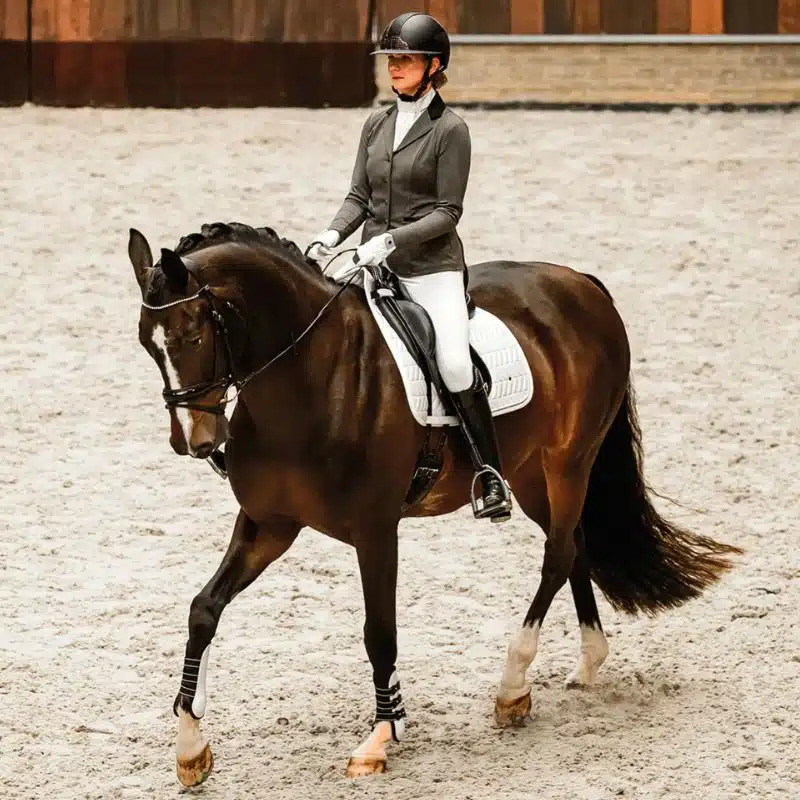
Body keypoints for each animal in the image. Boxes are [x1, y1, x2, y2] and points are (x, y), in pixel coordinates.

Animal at [127, 221, 741, 784]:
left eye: (192, 335)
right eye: (146, 342)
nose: (194, 441)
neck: (311, 378)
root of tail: (580, 282)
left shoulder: (376, 531)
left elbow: (380, 632)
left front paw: (381, 736)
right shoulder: (268, 524)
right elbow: (203, 610)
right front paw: (190, 747)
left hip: (569, 461)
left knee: (559, 555)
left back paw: (513, 687)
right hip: (530, 472)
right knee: (574, 543)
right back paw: (589, 659)